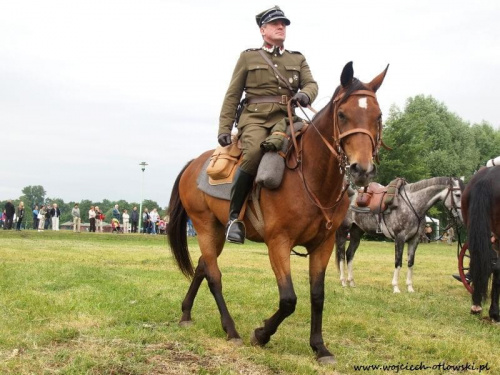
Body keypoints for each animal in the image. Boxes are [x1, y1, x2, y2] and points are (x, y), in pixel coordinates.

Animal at [168, 62, 390, 364]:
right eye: (342, 114)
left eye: (378, 116)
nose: (362, 169)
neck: (311, 177)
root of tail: (194, 163)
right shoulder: (278, 243)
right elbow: (288, 299)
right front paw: (261, 334)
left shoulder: (323, 244)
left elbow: (317, 295)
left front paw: (320, 347)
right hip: (204, 227)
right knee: (214, 276)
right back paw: (231, 330)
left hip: (216, 232)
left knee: (203, 265)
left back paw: (186, 313)